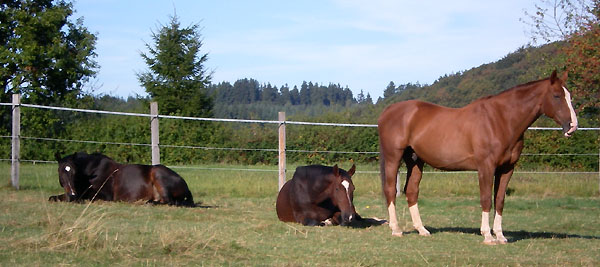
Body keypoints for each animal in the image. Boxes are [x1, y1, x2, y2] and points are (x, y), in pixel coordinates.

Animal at [49, 153, 195, 207]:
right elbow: (53, 197)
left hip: (158, 175)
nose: (72, 194)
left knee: (169, 201)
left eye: (74, 173)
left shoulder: (102, 196)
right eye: (60, 171)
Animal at [378, 71, 580, 245]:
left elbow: (499, 200)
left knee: (411, 191)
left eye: (569, 96)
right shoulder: (486, 167)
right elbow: (486, 199)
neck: (501, 119)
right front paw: (487, 236)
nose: (572, 126)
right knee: (390, 190)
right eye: (556, 96)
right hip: (393, 157)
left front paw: (500, 236)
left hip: (415, 160)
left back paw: (422, 230)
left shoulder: (507, 169)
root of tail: (388, 111)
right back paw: (396, 229)